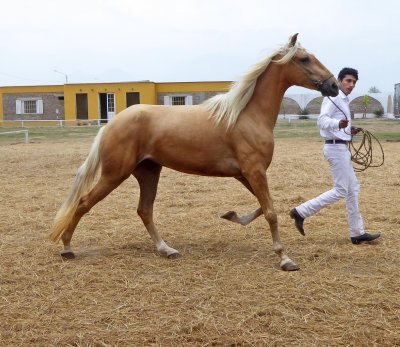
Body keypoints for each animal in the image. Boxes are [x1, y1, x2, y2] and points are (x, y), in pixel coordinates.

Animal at [49, 34, 338, 270]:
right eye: (304, 58)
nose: (334, 85)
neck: (246, 116)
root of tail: (111, 124)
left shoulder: (245, 174)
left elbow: (264, 205)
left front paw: (231, 215)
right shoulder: (254, 171)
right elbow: (270, 211)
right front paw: (285, 258)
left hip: (148, 172)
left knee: (144, 210)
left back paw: (166, 249)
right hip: (115, 174)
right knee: (84, 202)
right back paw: (67, 248)